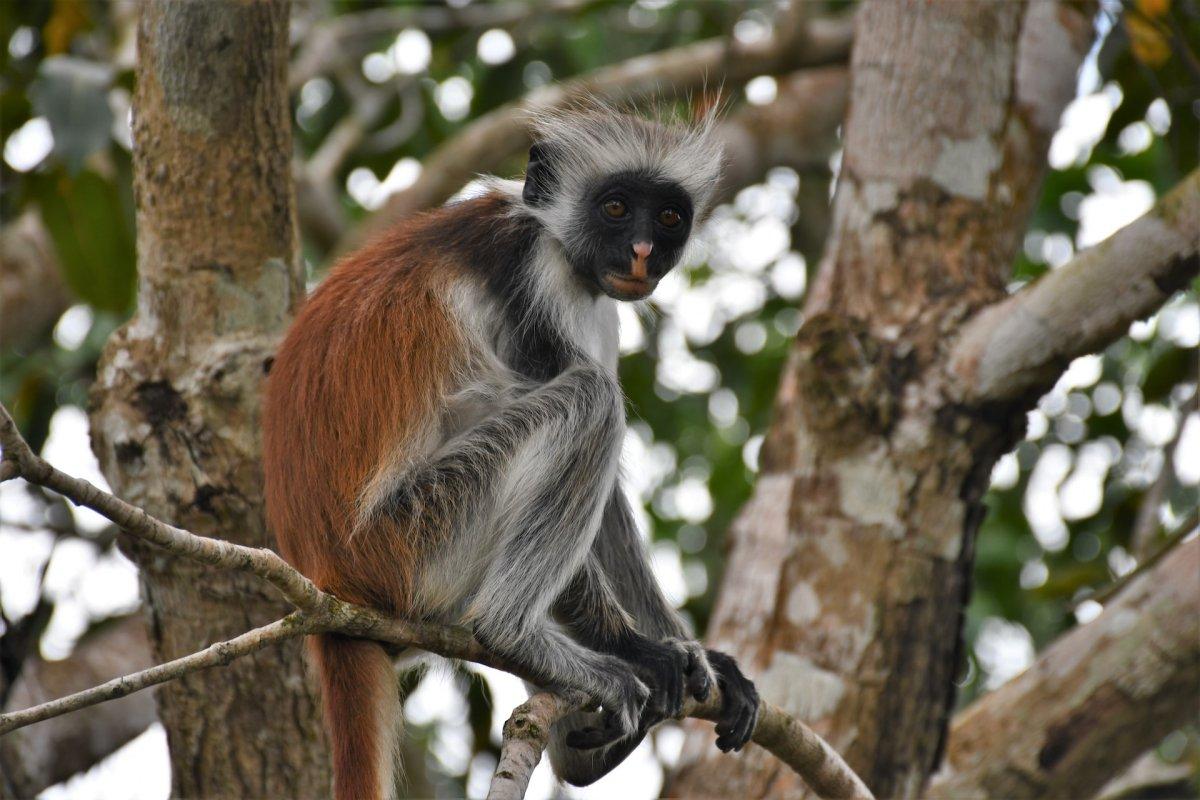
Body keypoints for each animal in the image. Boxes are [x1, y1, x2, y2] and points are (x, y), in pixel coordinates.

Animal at [267, 107, 763, 800]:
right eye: (615, 207)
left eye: (668, 216)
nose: (641, 251)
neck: (553, 237)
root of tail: (326, 574)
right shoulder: (532, 278)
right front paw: (640, 649)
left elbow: (608, 504)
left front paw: (699, 657)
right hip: (416, 537)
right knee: (591, 399)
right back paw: (514, 634)